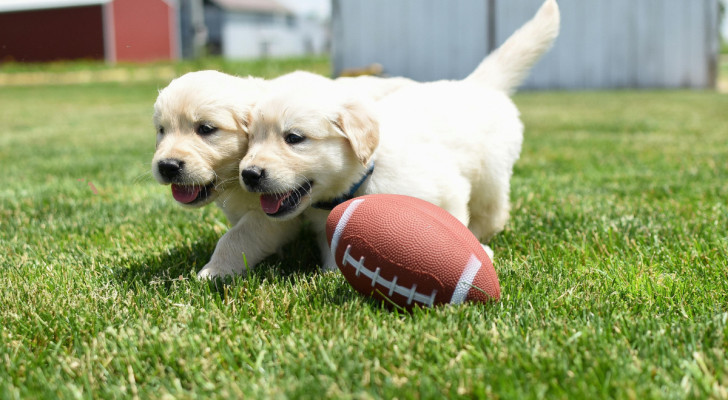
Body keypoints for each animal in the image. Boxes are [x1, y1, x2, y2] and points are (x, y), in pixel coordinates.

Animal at [150, 69, 412, 278]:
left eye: (205, 129)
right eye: (162, 130)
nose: (166, 166)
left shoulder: (273, 216)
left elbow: (236, 237)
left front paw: (215, 271)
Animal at [235, 0, 564, 276]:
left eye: (294, 138)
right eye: (251, 139)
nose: (248, 174)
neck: (365, 175)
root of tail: (478, 84)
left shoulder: (448, 189)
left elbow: (454, 221)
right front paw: (332, 273)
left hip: (491, 176)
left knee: (493, 211)